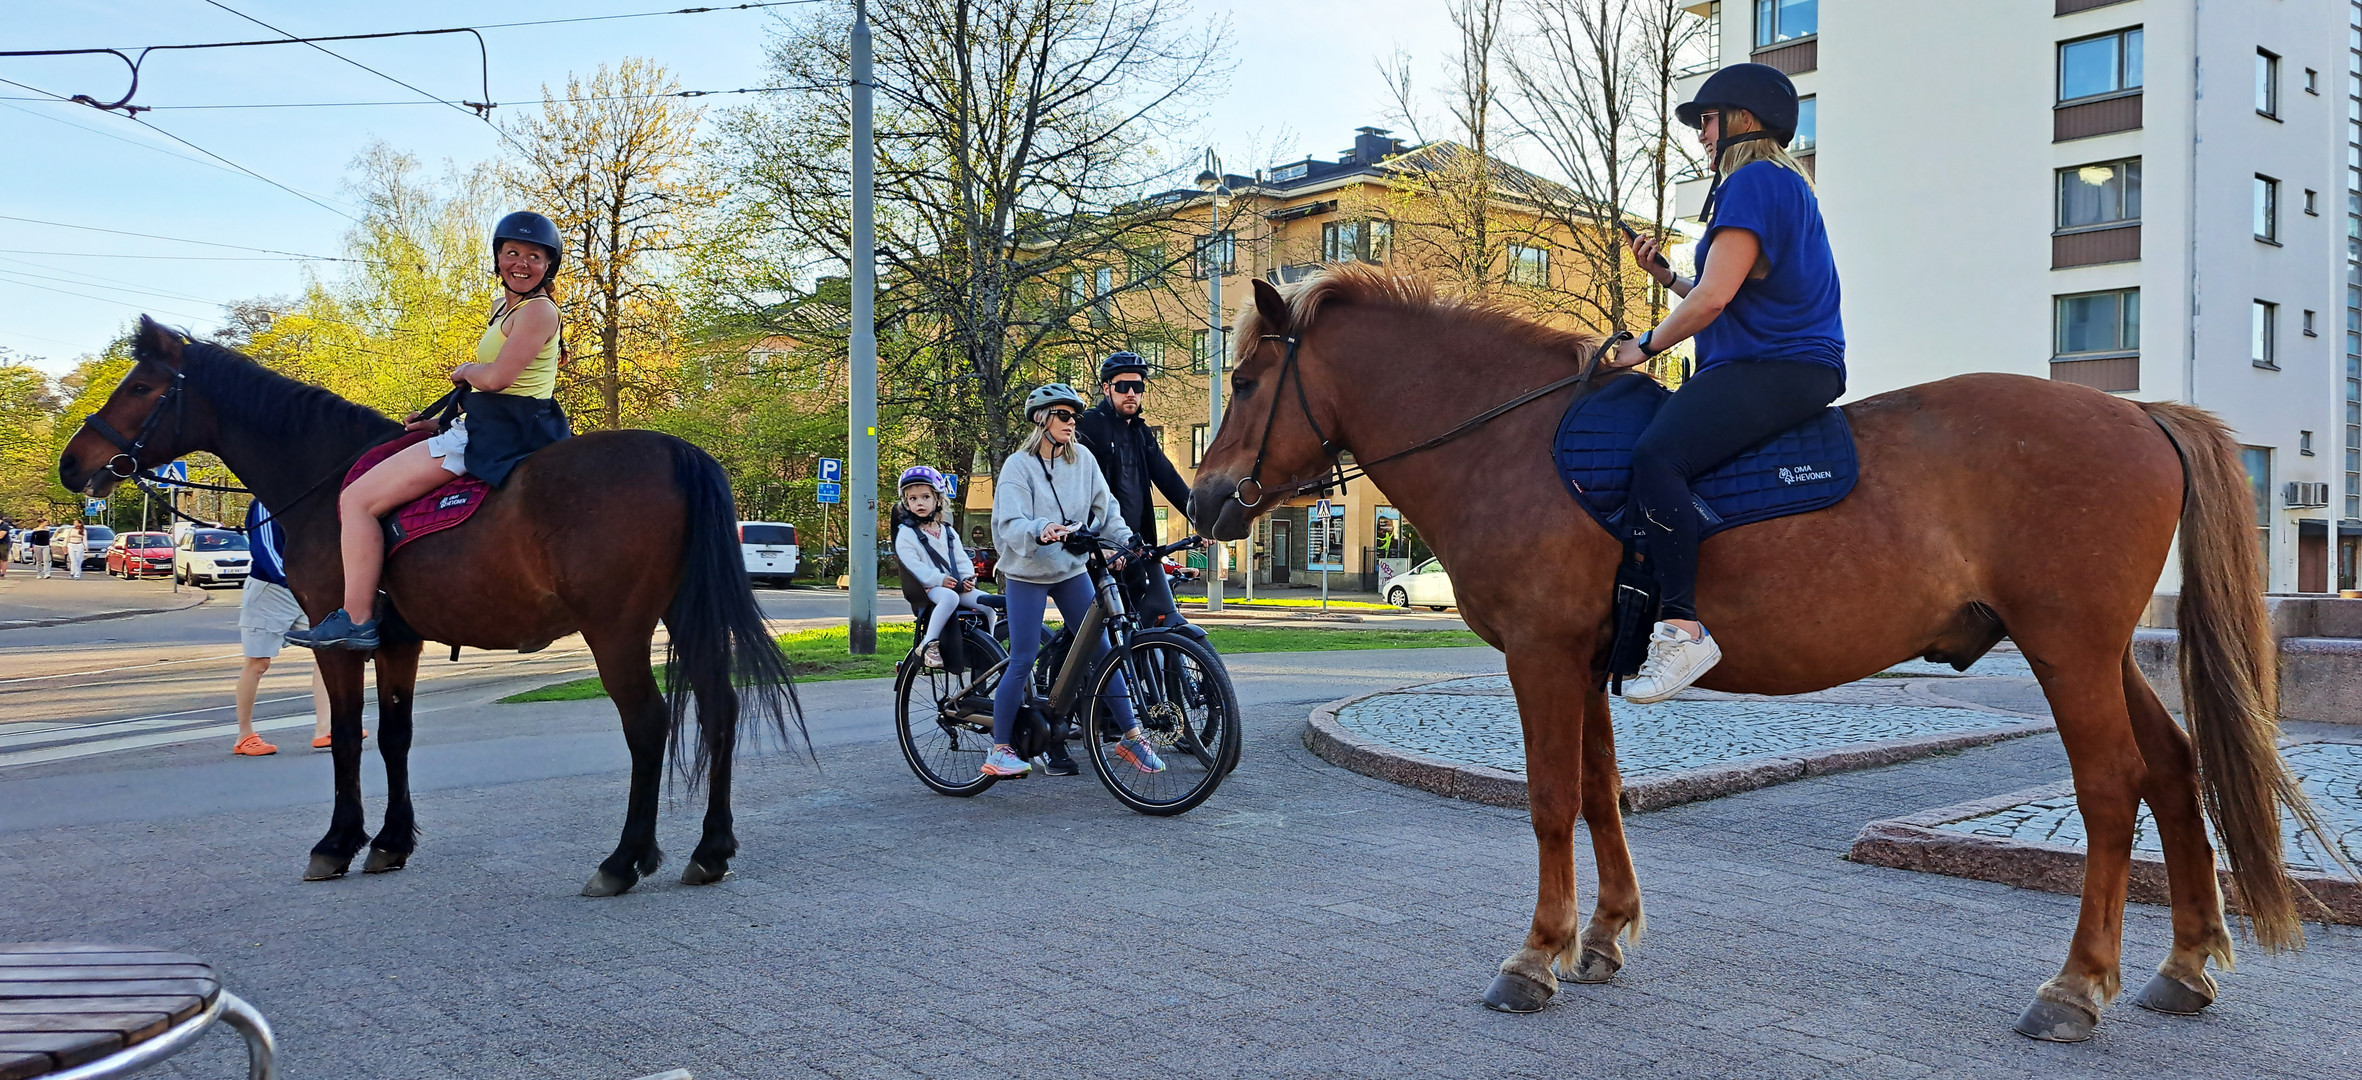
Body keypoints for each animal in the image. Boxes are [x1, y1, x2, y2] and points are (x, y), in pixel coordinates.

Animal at [57, 316, 803, 898]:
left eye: (142, 387)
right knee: (719, 709)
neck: (327, 477)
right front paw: (389, 842)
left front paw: (338, 843)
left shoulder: (336, 637)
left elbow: (348, 738)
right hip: (683, 616)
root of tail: (676, 450)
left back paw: (624, 860)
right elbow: (394, 735)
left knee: (648, 724)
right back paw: (710, 850)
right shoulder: (397, 642)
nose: (72, 464)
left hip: (615, 630)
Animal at [1190, 264, 2333, 1039]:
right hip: (2094, 655)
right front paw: (1602, 935)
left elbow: (1552, 802)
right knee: (2173, 770)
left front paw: (1535, 954)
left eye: (1243, 381)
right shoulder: (1586, 662)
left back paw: (2076, 984)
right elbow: (1600, 793)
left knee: (2109, 789)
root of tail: (2141, 415)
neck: (1512, 443)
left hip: (2068, 651)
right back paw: (2184, 964)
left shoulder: (1540, 656)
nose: (1202, 504)